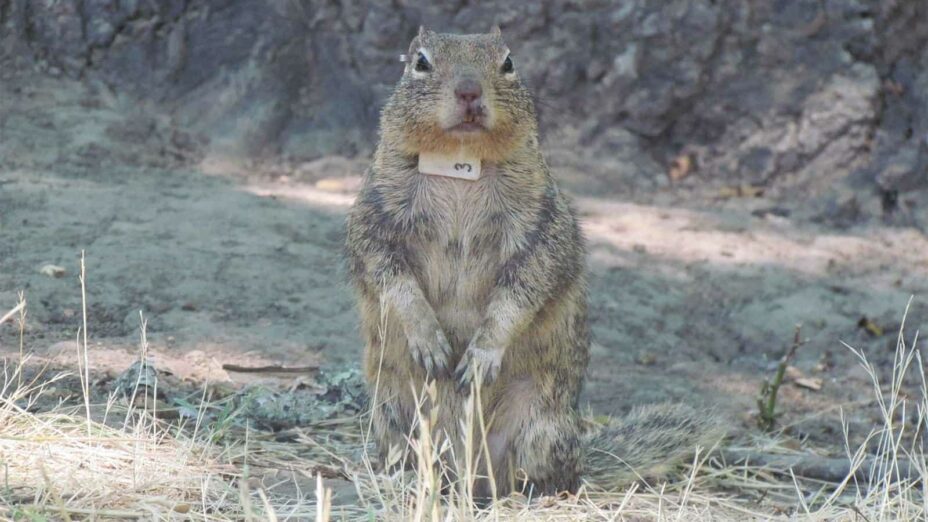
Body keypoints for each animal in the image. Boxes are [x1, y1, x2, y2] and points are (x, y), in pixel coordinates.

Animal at [344, 25, 720, 496]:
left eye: (508, 62)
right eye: (421, 62)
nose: (469, 90)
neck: (460, 161)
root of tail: (471, 474)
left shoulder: (542, 230)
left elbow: (524, 290)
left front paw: (481, 356)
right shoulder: (373, 221)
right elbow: (389, 278)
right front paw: (429, 340)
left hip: (541, 426)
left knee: (549, 478)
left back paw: (531, 494)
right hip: (394, 413)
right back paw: (412, 482)